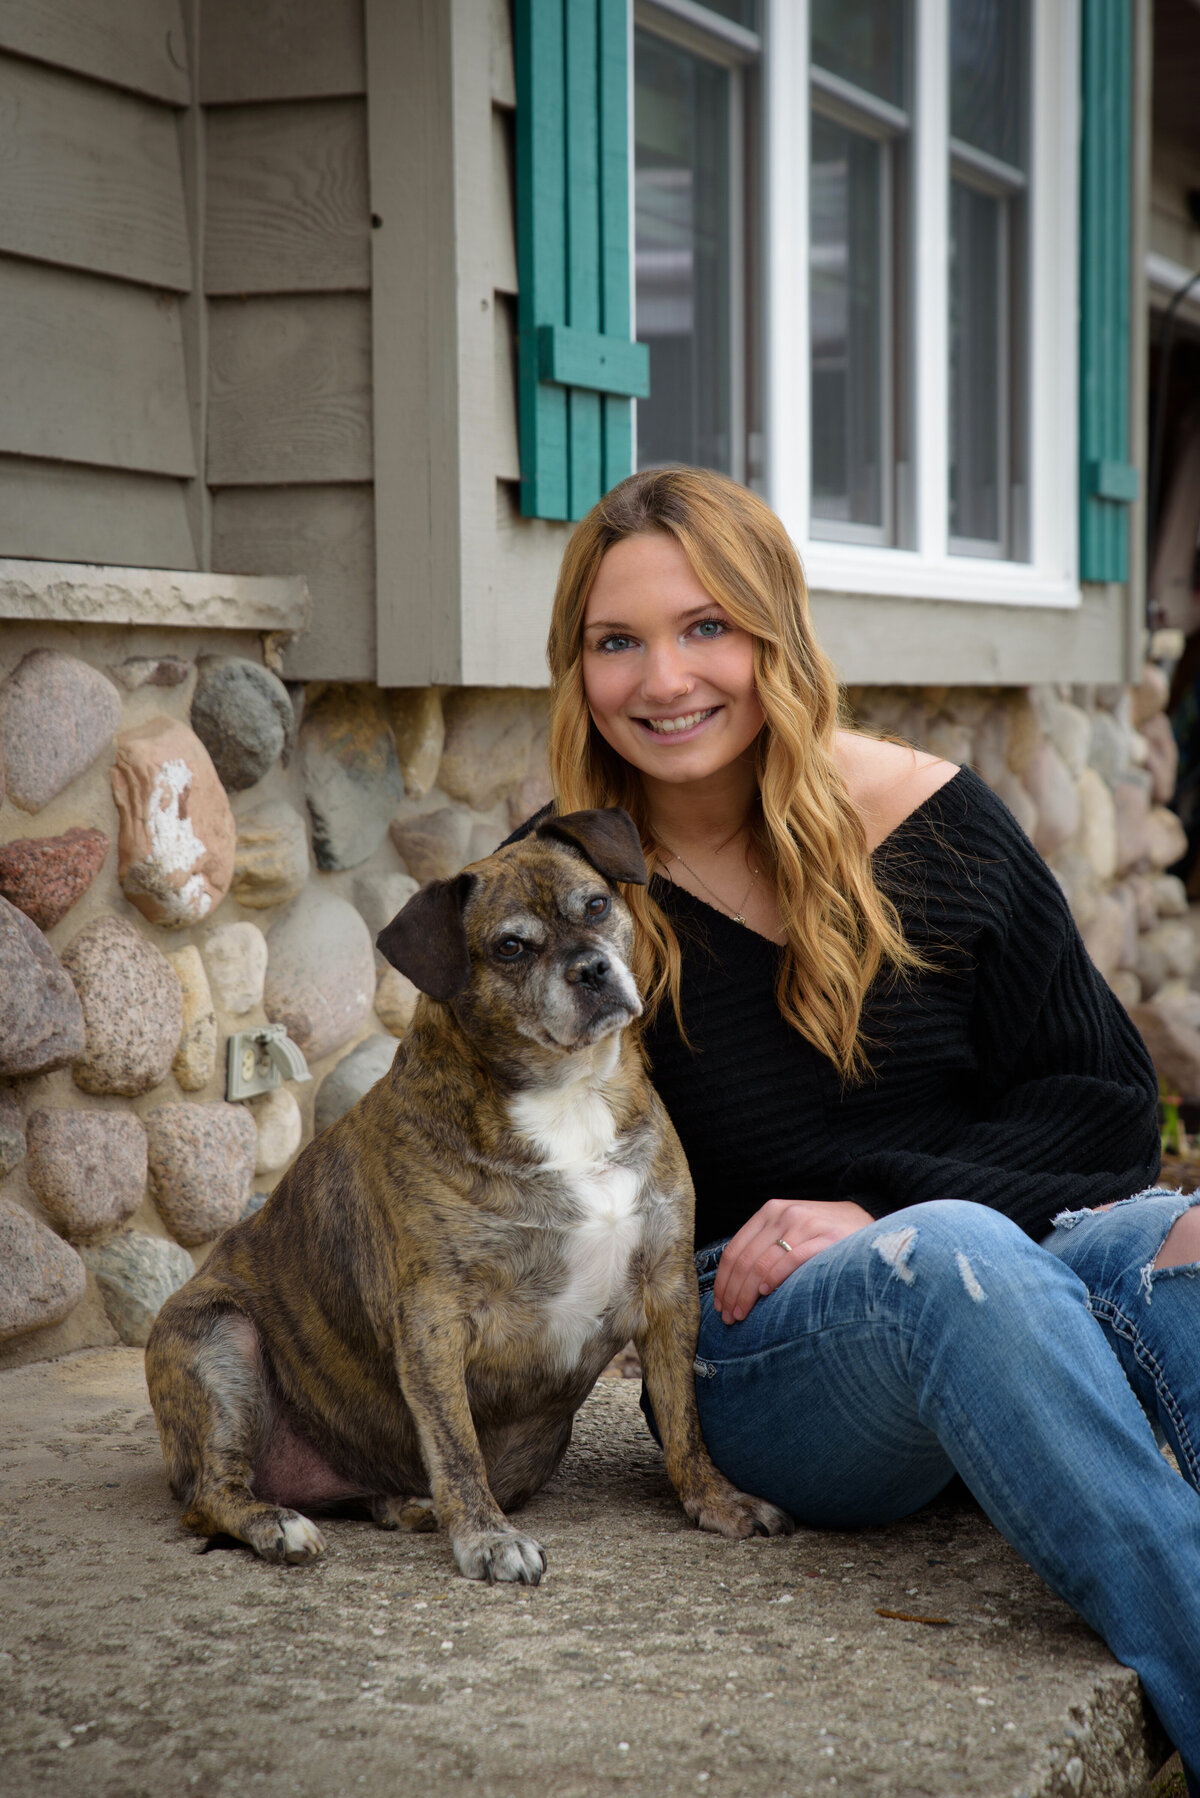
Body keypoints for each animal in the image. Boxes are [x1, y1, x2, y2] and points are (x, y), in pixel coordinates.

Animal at [145, 809, 791, 1582]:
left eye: (595, 906)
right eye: (510, 947)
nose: (592, 969)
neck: (568, 1095)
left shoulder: (667, 1289)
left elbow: (684, 1417)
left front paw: (716, 1499)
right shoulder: (434, 1319)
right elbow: (455, 1444)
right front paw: (488, 1537)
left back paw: (404, 1504)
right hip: (219, 1339)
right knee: (209, 1496)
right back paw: (278, 1525)